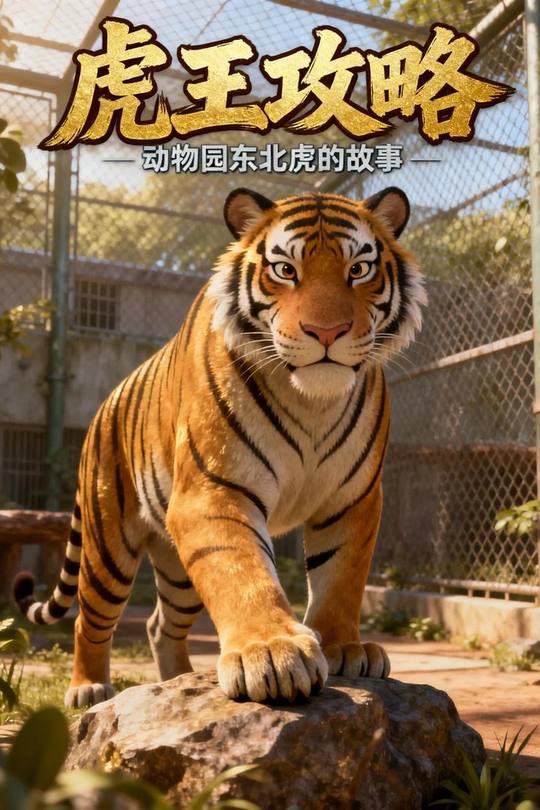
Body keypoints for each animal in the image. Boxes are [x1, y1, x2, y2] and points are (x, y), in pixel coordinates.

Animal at [13, 185, 425, 708]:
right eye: (285, 270)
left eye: (358, 269)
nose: (327, 332)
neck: (312, 401)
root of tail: (104, 404)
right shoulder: (214, 492)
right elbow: (241, 572)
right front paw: (270, 653)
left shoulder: (352, 498)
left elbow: (341, 578)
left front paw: (344, 648)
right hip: (107, 543)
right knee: (90, 617)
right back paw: (88, 688)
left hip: (177, 570)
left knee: (160, 624)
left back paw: (177, 682)